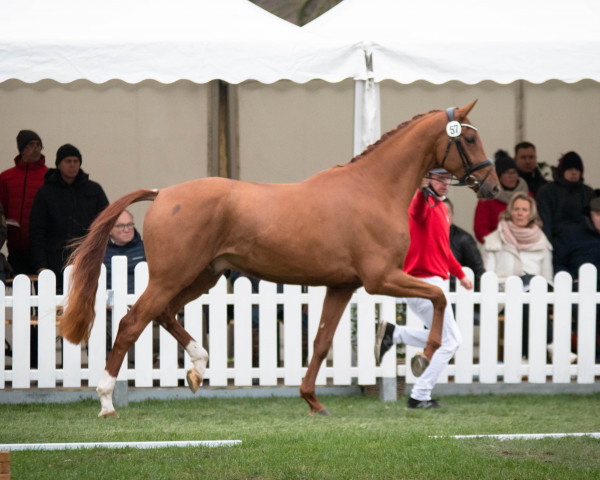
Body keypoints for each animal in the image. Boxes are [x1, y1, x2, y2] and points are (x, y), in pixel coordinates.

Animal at [58, 101, 500, 416]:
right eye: (469, 140)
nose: (494, 187)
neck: (372, 188)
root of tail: (162, 193)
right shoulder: (381, 278)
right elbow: (438, 296)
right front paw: (424, 357)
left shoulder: (343, 285)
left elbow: (320, 342)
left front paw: (313, 401)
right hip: (172, 276)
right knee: (132, 323)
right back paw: (106, 401)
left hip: (202, 277)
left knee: (164, 314)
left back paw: (198, 366)